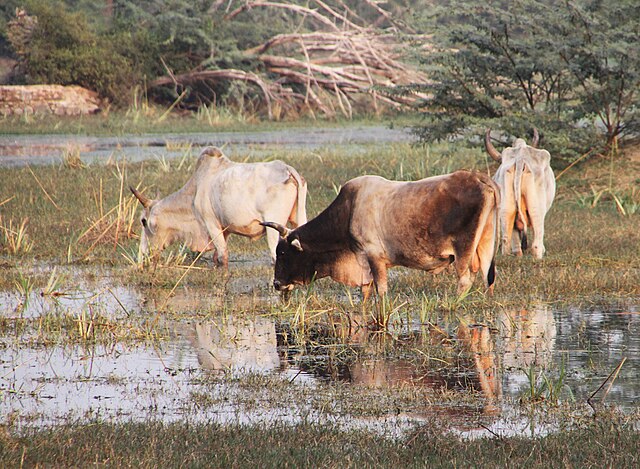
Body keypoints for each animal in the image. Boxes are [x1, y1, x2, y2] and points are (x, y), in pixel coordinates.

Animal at [131, 145, 306, 266]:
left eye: (143, 221)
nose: (143, 256)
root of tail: (286, 169)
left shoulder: (211, 224)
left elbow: (222, 257)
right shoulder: (225, 229)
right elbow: (216, 257)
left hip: (273, 229)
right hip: (299, 220)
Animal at [262, 169, 500, 296]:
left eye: (282, 253)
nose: (276, 284)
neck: (348, 210)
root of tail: (477, 177)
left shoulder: (374, 257)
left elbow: (381, 290)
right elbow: (365, 291)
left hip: (463, 249)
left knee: (465, 279)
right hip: (485, 244)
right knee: (488, 279)